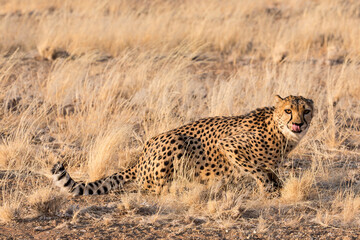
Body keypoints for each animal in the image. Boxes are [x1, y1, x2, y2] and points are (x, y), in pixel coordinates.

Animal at [51, 94, 316, 196]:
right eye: (288, 110)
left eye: (306, 111)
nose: (298, 124)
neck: (280, 133)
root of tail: (140, 158)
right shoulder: (229, 144)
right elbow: (257, 169)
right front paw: (268, 189)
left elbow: (269, 170)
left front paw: (278, 184)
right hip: (176, 141)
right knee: (152, 188)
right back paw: (182, 187)